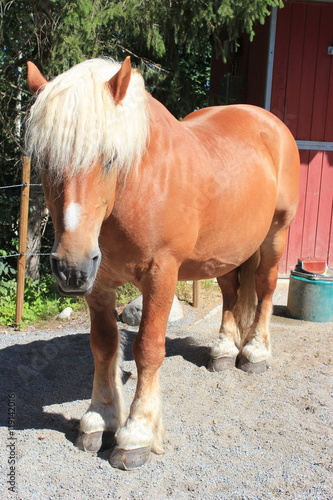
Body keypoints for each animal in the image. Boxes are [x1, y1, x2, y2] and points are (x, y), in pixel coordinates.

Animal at [26, 56, 298, 470]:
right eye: (43, 160)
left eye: (110, 158)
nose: (71, 269)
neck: (139, 185)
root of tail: (268, 121)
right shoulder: (99, 283)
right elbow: (103, 346)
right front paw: (100, 418)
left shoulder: (161, 274)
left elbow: (148, 349)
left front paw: (136, 433)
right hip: (221, 255)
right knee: (232, 294)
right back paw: (223, 350)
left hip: (275, 236)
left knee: (265, 289)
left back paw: (254, 352)